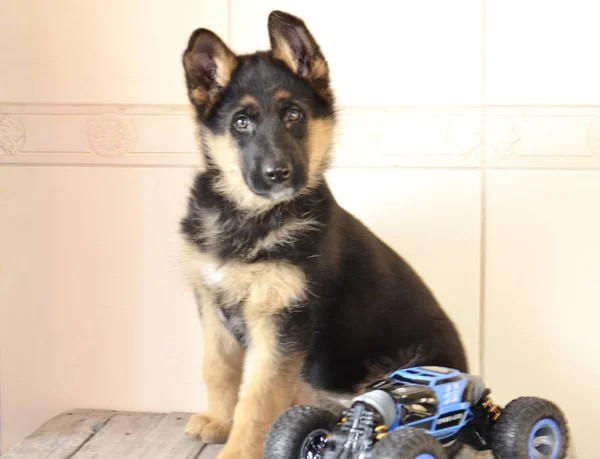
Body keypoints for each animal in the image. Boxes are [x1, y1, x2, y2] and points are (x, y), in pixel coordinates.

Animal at [178, 9, 468, 458]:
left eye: (294, 114)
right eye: (241, 123)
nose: (277, 174)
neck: (251, 217)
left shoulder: (283, 320)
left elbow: (258, 396)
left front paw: (240, 447)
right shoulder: (212, 303)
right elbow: (218, 368)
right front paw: (219, 422)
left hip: (403, 365)